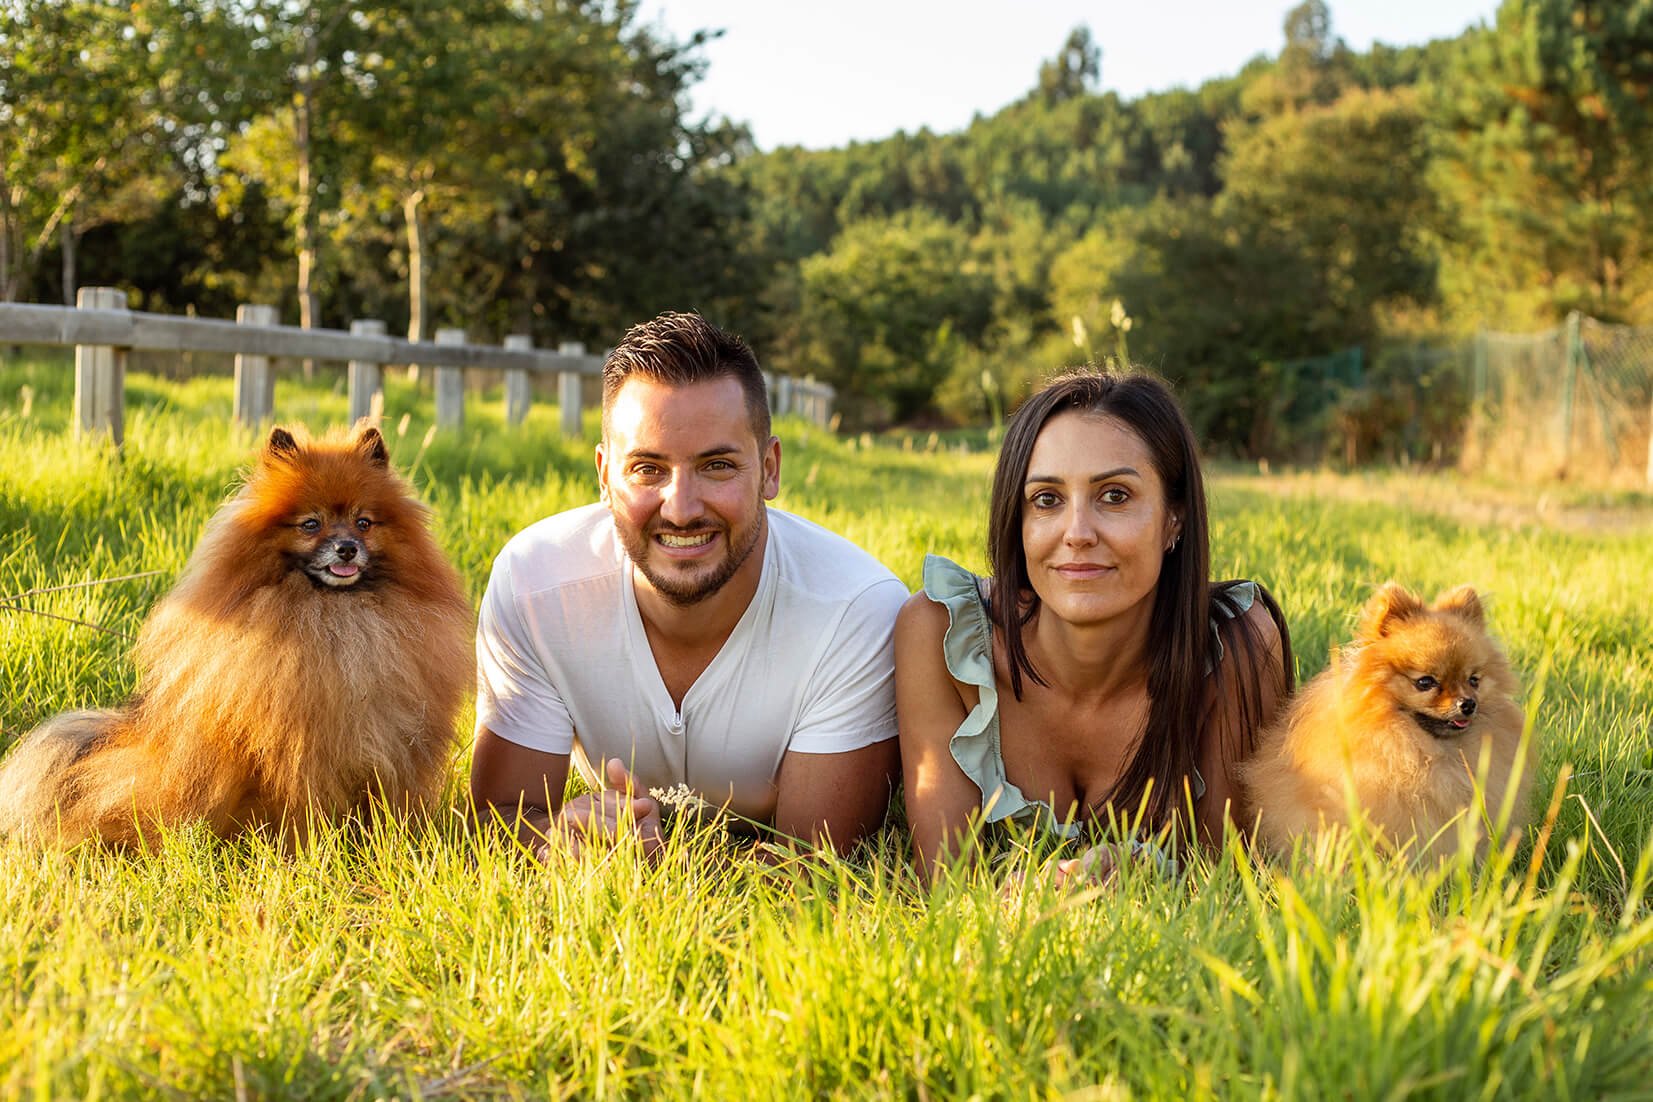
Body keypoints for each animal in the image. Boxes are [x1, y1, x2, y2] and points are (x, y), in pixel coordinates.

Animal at [0, 419, 476, 845]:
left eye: (364, 523)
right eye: (311, 524)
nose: (346, 548)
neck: (338, 619)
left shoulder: (394, 751)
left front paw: (395, 844)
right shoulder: (297, 754)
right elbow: (303, 814)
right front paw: (306, 854)